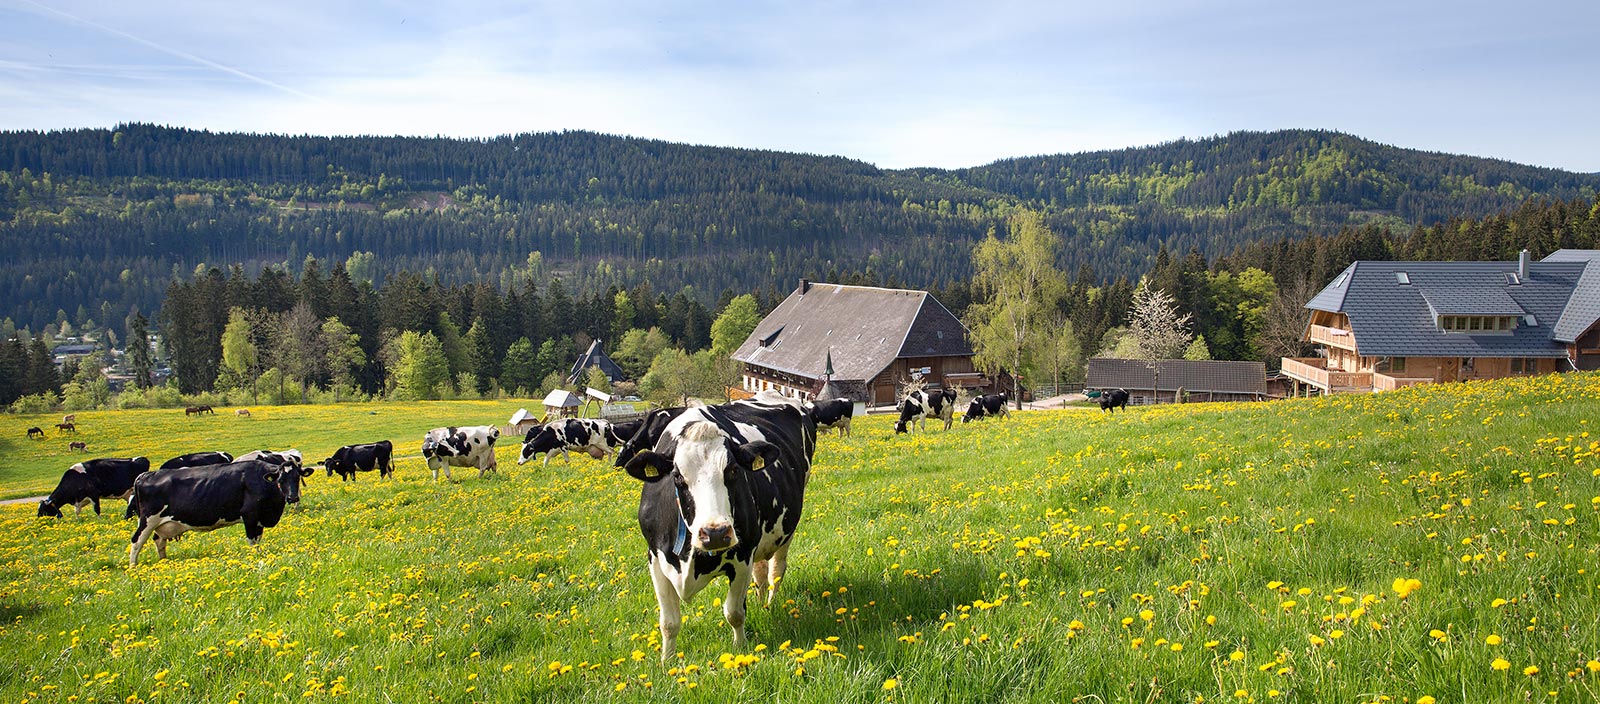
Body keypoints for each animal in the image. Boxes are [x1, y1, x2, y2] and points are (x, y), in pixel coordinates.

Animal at [128, 457, 308, 566]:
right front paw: (254, 558)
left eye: (297, 477)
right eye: (280, 479)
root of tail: (145, 475)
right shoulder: (249, 515)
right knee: (136, 541)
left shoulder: (259, 519)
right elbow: (252, 542)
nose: (292, 497)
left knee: (159, 540)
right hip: (148, 520)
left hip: (161, 523)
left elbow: (258, 540)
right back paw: (133, 567)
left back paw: (164, 562)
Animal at [611, 393, 812, 662]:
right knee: (760, 572)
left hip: (787, 526)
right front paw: (667, 662)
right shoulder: (655, 559)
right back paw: (761, 603)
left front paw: (740, 649)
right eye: (676, 475)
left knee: (775, 570)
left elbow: (734, 613)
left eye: (734, 470)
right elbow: (669, 623)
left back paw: (769, 603)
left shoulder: (742, 557)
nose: (715, 533)